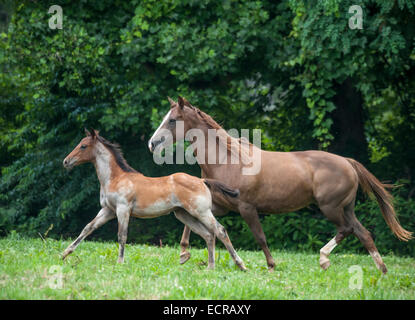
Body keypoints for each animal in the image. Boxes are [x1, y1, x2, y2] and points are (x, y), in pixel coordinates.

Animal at [61, 129, 247, 272]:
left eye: (83, 146)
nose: (66, 161)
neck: (115, 178)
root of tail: (202, 181)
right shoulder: (107, 210)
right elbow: (88, 228)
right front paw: (64, 253)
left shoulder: (122, 209)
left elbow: (122, 236)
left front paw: (120, 262)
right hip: (184, 214)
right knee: (208, 235)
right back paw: (210, 267)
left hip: (201, 212)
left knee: (220, 231)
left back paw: (241, 265)